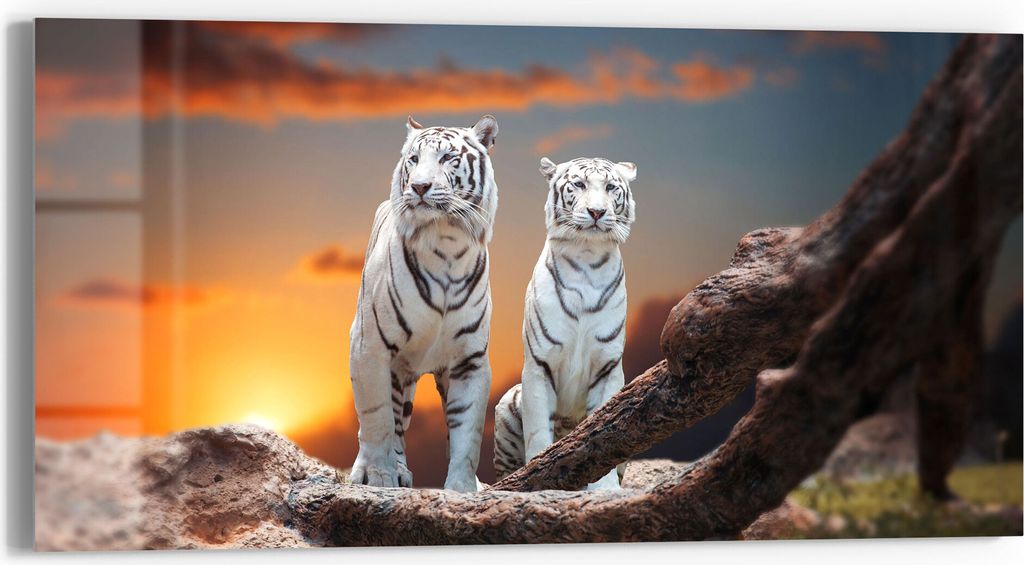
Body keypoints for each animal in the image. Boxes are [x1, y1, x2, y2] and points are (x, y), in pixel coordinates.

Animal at [348, 114, 499, 492]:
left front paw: (463, 489)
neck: (446, 241)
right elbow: (377, 421)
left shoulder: (470, 359)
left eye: (448, 158)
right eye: (414, 160)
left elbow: (467, 432)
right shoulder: (368, 346)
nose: (419, 187)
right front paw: (377, 477)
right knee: (391, 422)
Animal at [493, 156, 637, 490]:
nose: (597, 212)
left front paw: (605, 489)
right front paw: (537, 476)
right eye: (579, 185)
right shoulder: (539, 364)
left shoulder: (608, 366)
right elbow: (537, 432)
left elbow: (605, 430)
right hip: (507, 403)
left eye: (611, 188)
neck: (587, 256)